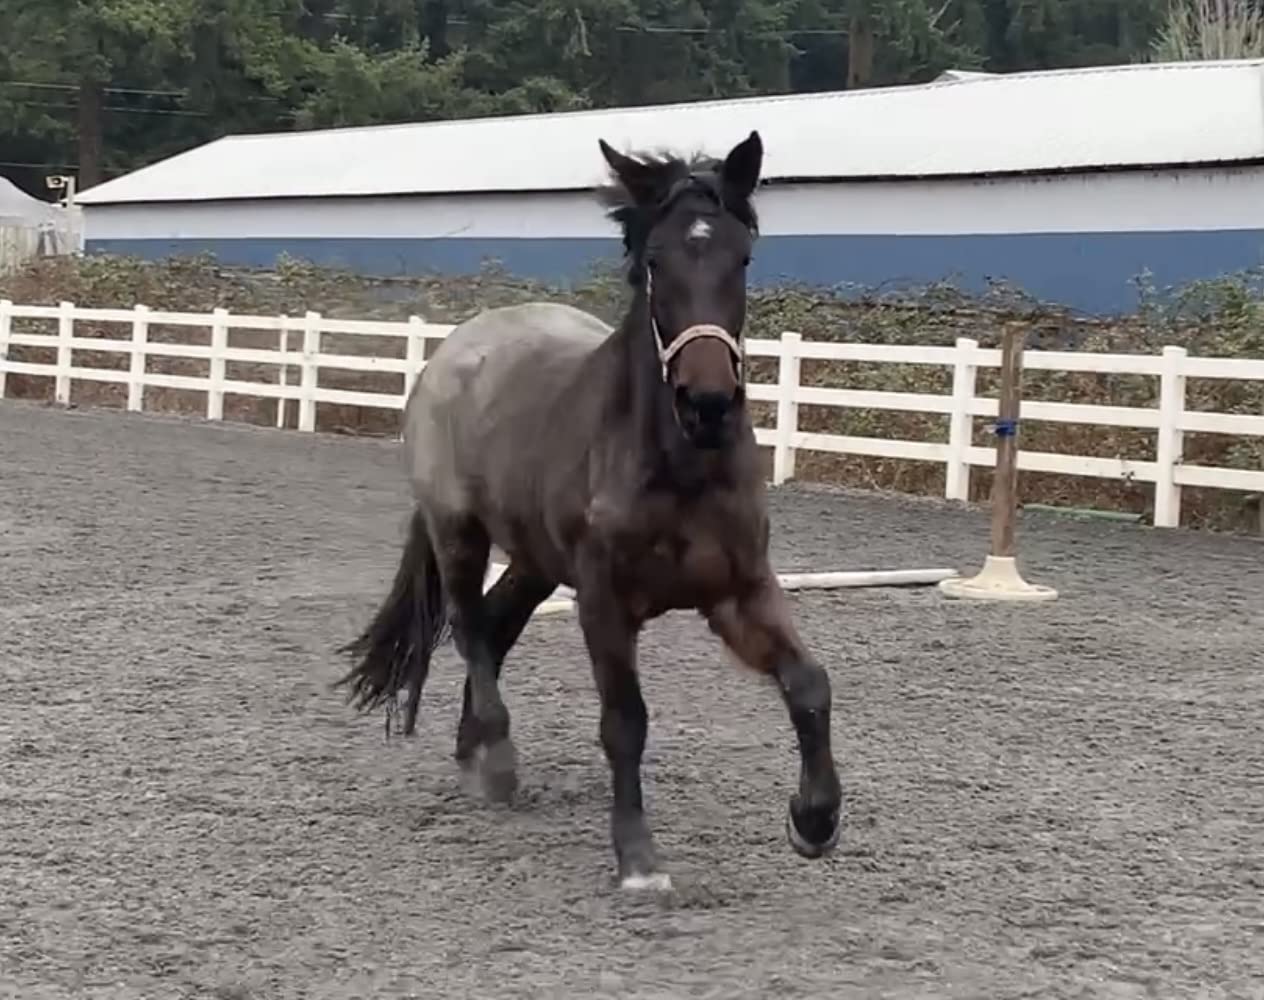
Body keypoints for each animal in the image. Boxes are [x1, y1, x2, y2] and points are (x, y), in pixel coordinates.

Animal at [336, 129, 843, 891]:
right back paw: (497, 759)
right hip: (459, 534)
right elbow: (624, 722)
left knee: (496, 626)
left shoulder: (740, 591)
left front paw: (814, 822)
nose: (707, 403)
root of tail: (454, 350)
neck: (678, 466)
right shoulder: (604, 602)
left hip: (536, 560)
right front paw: (638, 860)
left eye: (742, 258)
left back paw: (472, 750)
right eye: (657, 262)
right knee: (470, 628)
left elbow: (810, 685)